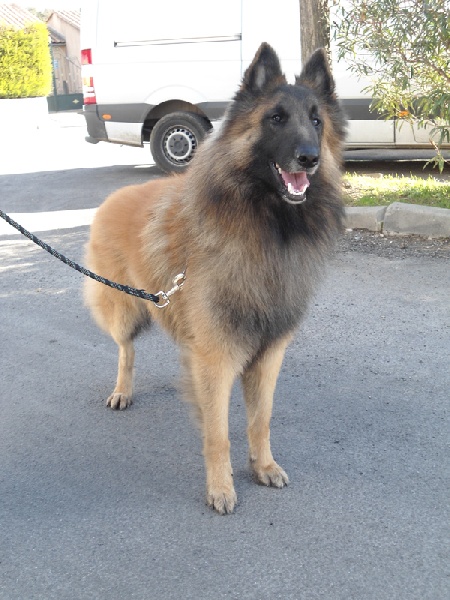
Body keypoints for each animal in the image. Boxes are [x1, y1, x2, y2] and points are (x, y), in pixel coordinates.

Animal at [84, 42, 346, 512]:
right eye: (276, 118)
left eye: (317, 121)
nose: (310, 158)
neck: (265, 229)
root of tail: (111, 198)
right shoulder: (217, 356)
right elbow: (218, 432)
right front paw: (221, 487)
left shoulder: (268, 354)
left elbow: (260, 420)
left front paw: (262, 467)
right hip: (124, 310)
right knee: (125, 350)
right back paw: (122, 390)